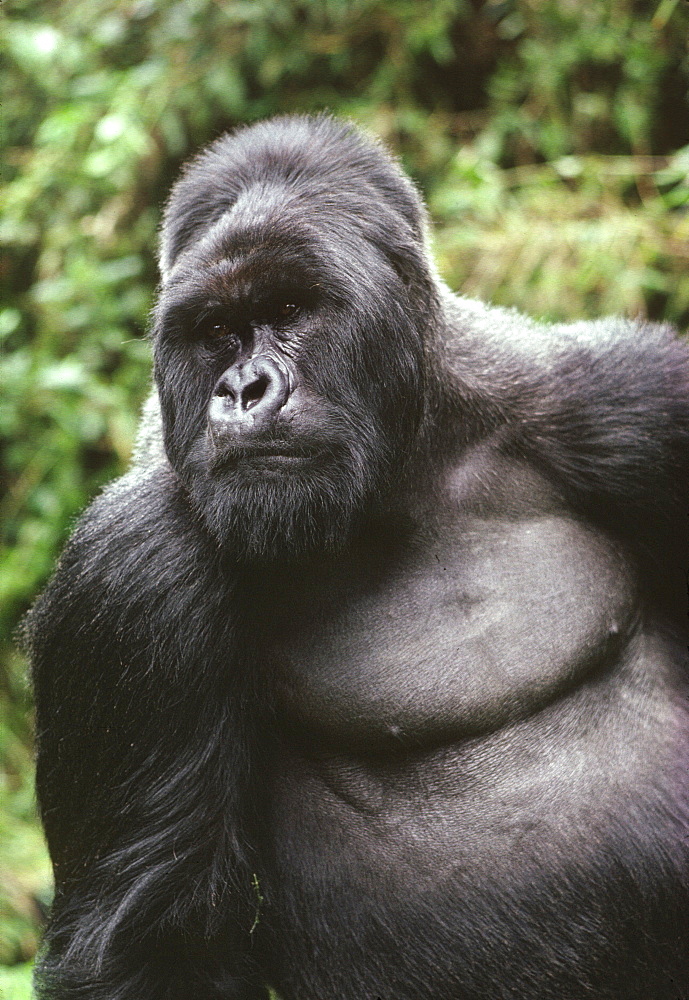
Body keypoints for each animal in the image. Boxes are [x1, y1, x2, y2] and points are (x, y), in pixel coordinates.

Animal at [24, 117, 688, 1000]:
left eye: (289, 309)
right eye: (217, 333)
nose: (244, 390)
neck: (406, 467)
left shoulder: (629, 401)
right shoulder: (132, 570)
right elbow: (150, 946)